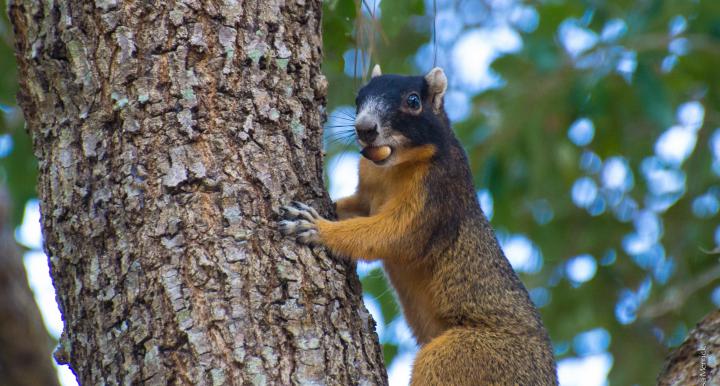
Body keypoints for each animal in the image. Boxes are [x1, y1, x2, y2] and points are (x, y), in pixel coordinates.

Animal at [280, 65, 556, 384]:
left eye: (413, 101)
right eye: (358, 98)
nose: (365, 128)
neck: (393, 167)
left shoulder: (435, 196)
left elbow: (392, 234)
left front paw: (318, 229)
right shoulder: (367, 191)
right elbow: (356, 210)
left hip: (473, 357)